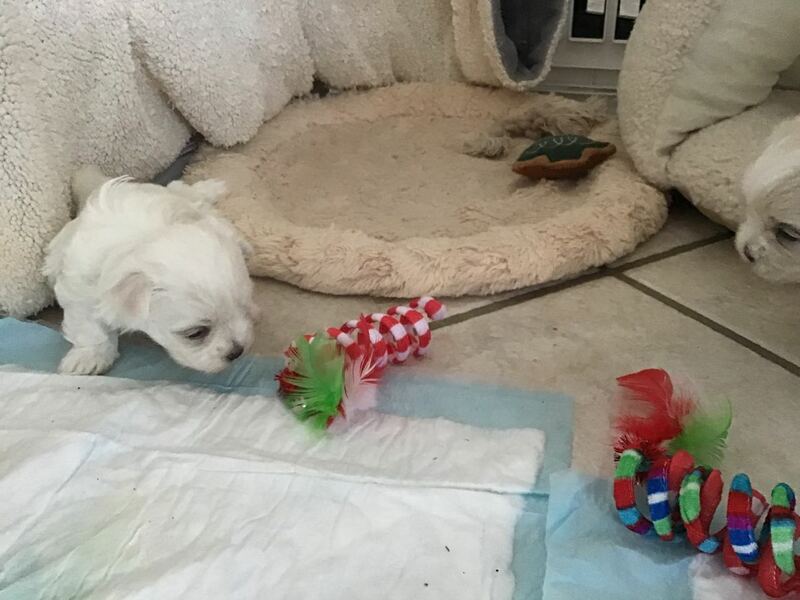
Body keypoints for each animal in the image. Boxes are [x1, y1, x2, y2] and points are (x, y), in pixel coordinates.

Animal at [44, 166, 256, 375]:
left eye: (243, 309)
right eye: (195, 333)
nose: (237, 352)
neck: (140, 239)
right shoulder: (80, 290)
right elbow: (88, 326)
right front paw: (89, 357)